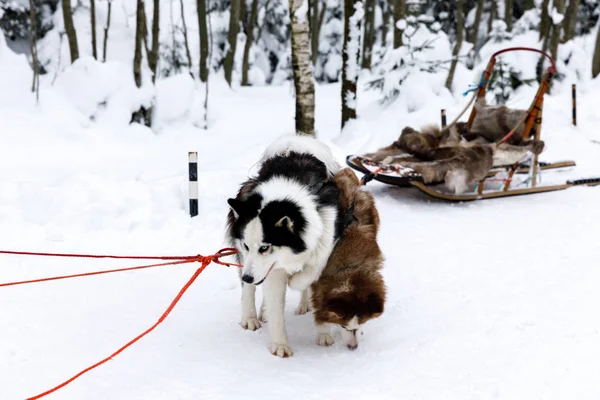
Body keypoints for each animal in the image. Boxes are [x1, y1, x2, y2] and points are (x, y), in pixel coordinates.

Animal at [227, 134, 344, 356]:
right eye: (247, 246)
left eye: (264, 248)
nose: (247, 277)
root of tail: (291, 148)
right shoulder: (269, 269)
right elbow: (275, 305)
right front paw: (280, 345)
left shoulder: (325, 241)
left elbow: (310, 274)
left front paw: (323, 333)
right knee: (250, 290)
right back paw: (251, 316)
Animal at [308, 169, 386, 350]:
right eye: (343, 326)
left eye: (361, 324)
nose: (353, 347)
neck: (350, 267)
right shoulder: (318, 279)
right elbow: (318, 306)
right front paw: (323, 333)